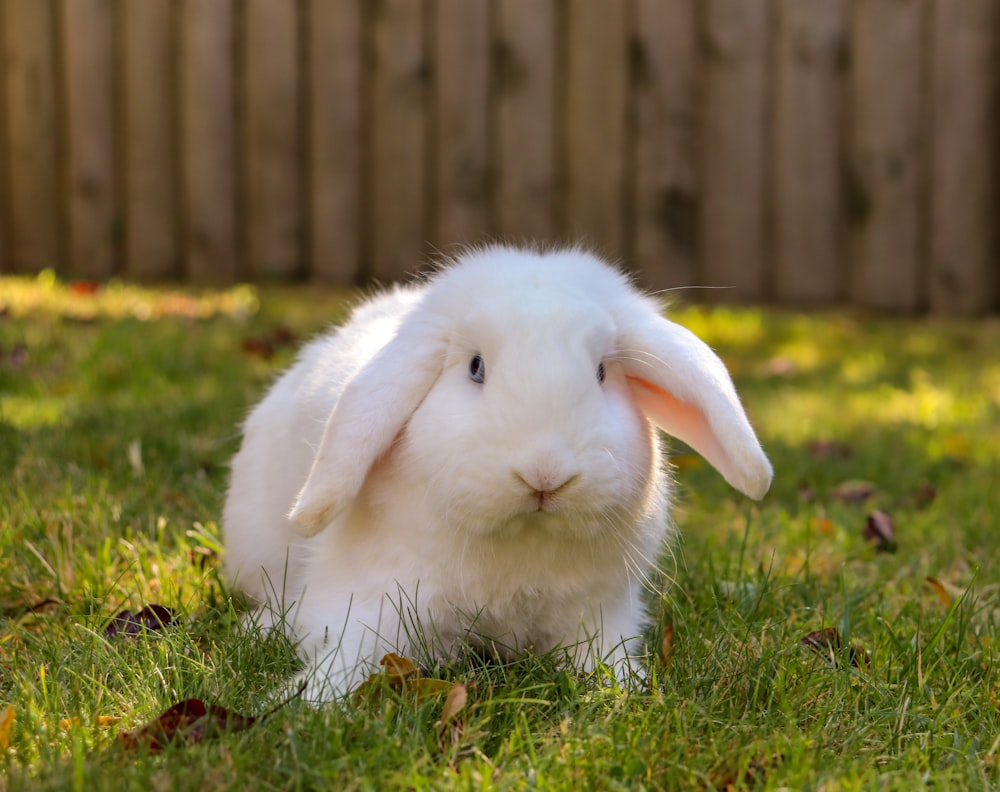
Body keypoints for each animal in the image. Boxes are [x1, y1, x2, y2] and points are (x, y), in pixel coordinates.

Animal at [225, 246, 772, 700]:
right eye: (475, 367)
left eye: (601, 373)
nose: (545, 473)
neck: (521, 543)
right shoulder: (373, 600)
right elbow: (351, 654)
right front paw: (305, 703)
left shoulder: (600, 613)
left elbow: (605, 662)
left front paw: (629, 694)